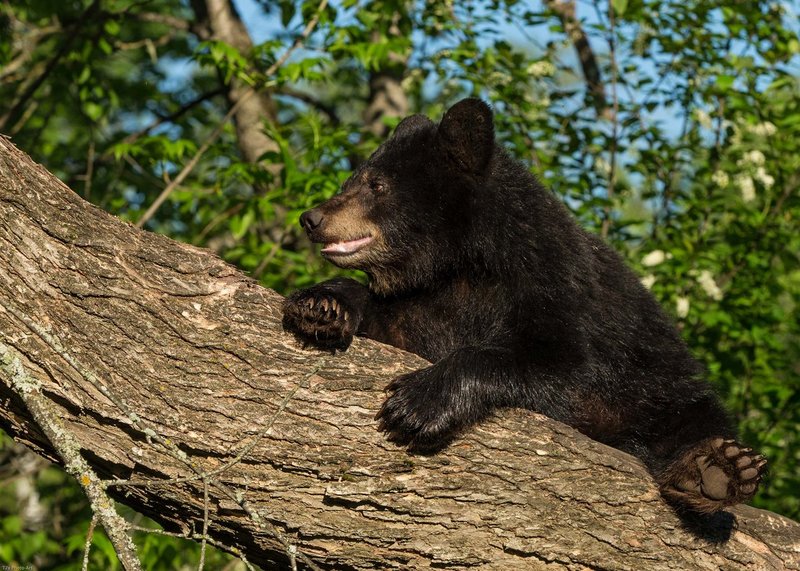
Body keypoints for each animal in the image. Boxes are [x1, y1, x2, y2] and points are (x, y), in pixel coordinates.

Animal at [282, 98, 767, 514]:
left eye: (376, 185)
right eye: (352, 180)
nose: (312, 218)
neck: (460, 262)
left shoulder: (550, 283)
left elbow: (554, 362)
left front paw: (419, 403)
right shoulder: (427, 303)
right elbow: (394, 322)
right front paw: (324, 305)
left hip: (659, 385)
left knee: (689, 420)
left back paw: (716, 470)